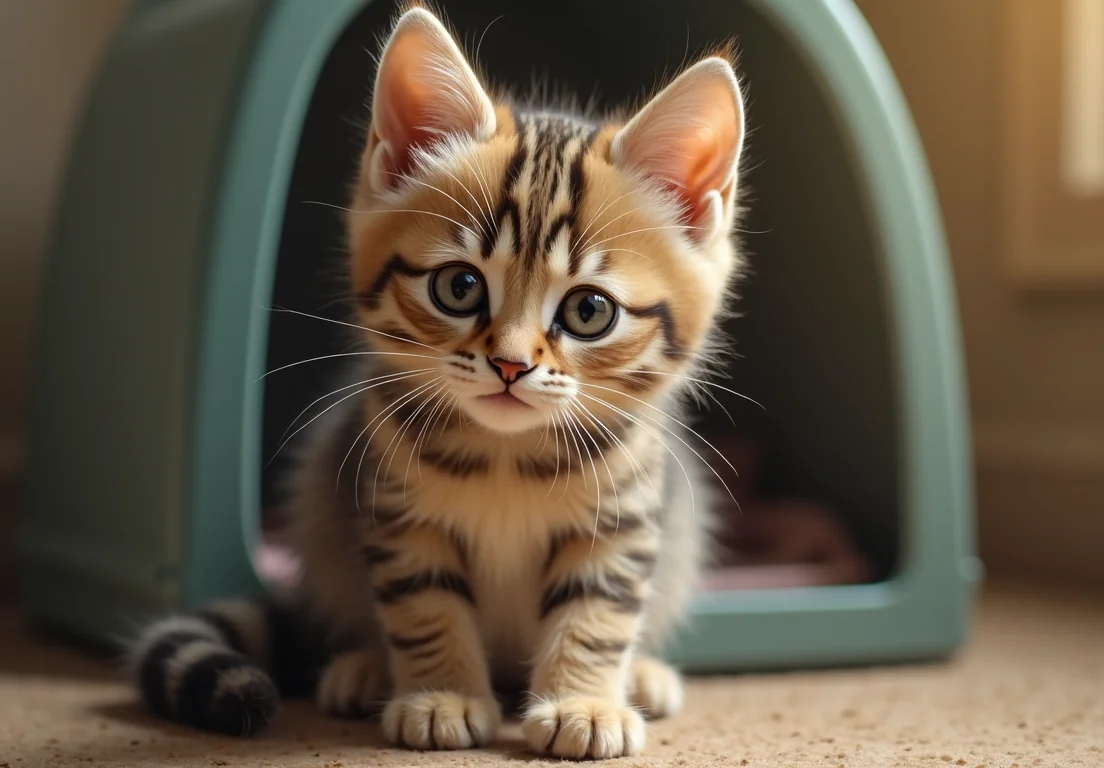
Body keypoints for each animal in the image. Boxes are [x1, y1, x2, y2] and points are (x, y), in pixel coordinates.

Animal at [129, 4, 750, 763]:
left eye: (589, 311)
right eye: (459, 288)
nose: (511, 365)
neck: (509, 458)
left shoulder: (624, 517)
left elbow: (598, 611)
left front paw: (582, 701)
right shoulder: (397, 513)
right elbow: (424, 604)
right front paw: (441, 695)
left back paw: (644, 677)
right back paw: (364, 668)